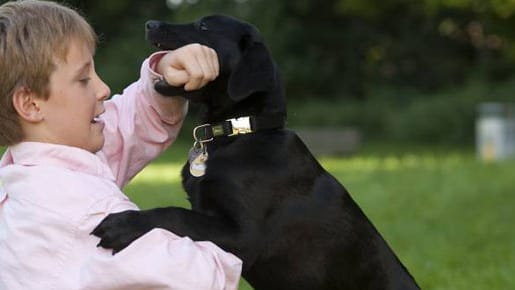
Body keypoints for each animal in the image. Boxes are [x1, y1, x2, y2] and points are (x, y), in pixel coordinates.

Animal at [93, 15, 420, 290]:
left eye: (204, 26)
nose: (150, 24)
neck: (241, 132)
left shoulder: (242, 236)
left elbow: (175, 214)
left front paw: (124, 224)